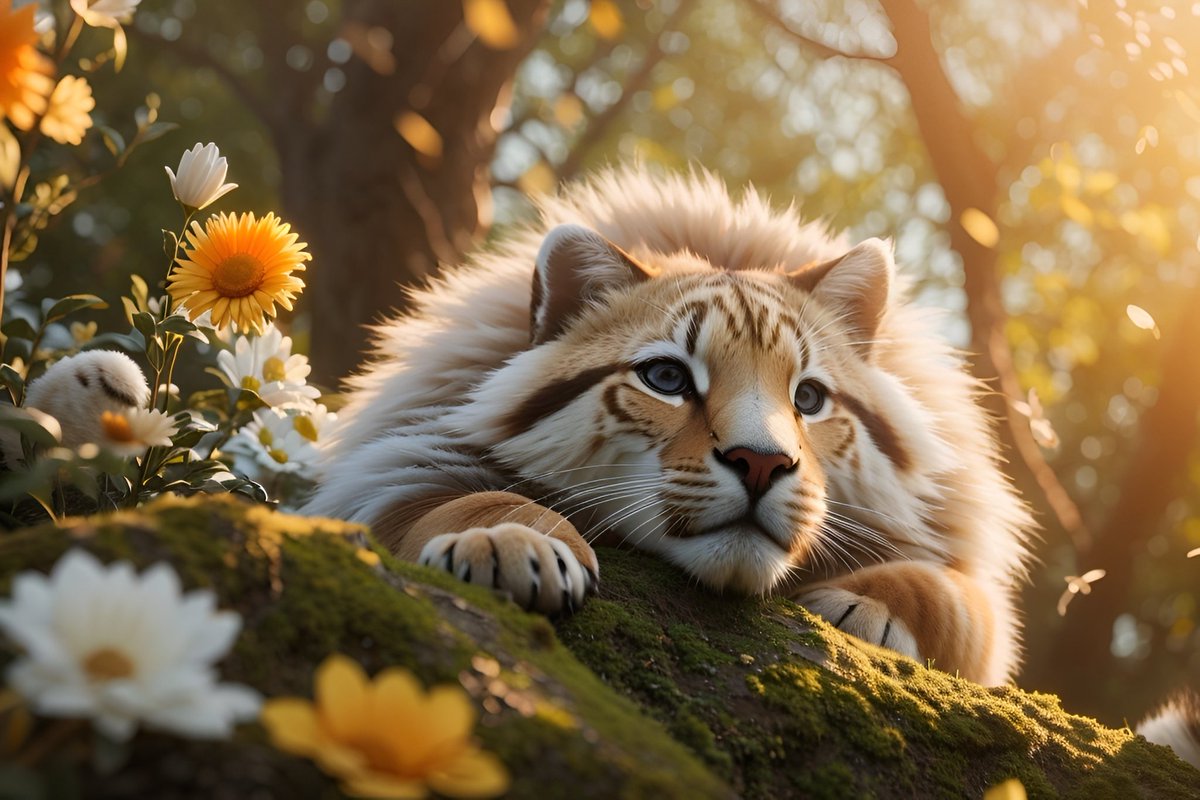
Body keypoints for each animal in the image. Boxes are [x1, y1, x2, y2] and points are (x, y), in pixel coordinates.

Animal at [303, 168, 1035, 687]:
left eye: (809, 397)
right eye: (666, 378)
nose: (763, 463)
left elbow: (954, 594)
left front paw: (871, 614)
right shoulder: (399, 458)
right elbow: (468, 497)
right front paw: (511, 546)